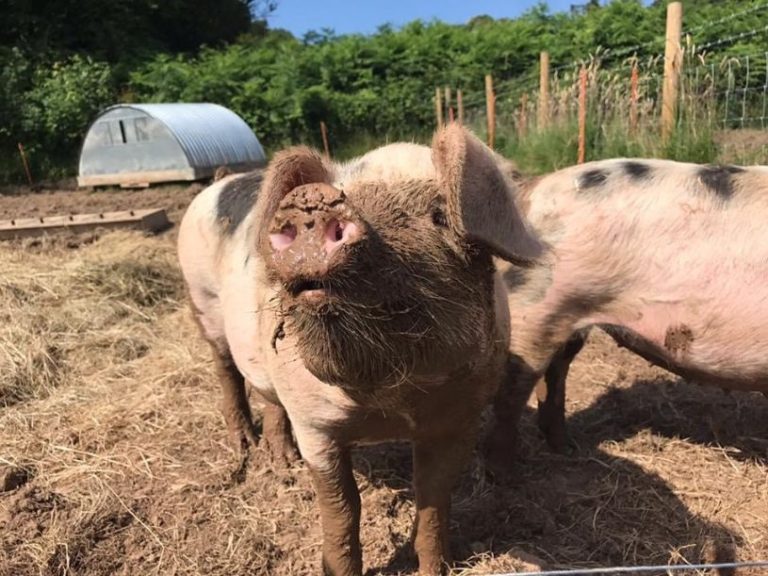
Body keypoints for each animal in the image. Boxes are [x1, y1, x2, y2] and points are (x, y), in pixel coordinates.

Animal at [176, 124, 541, 575]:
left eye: (439, 216)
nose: (310, 198)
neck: (392, 401)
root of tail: (219, 182)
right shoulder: (314, 424)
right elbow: (342, 508)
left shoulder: (459, 417)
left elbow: (434, 499)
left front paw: (435, 566)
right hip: (201, 299)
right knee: (225, 368)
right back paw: (246, 444)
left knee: (267, 395)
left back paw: (284, 463)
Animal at [485, 158, 768, 459]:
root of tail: (532, 188)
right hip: (534, 305)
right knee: (511, 392)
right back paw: (504, 465)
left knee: (553, 375)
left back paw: (568, 448)